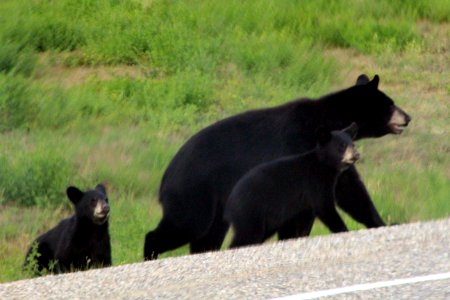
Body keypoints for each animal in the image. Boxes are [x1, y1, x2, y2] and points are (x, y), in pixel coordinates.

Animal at [227, 123, 360, 247]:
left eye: (353, 144)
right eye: (341, 146)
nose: (356, 154)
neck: (324, 166)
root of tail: (231, 201)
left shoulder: (304, 203)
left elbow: (305, 218)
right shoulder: (314, 182)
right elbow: (324, 207)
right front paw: (344, 230)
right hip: (251, 209)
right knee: (248, 234)